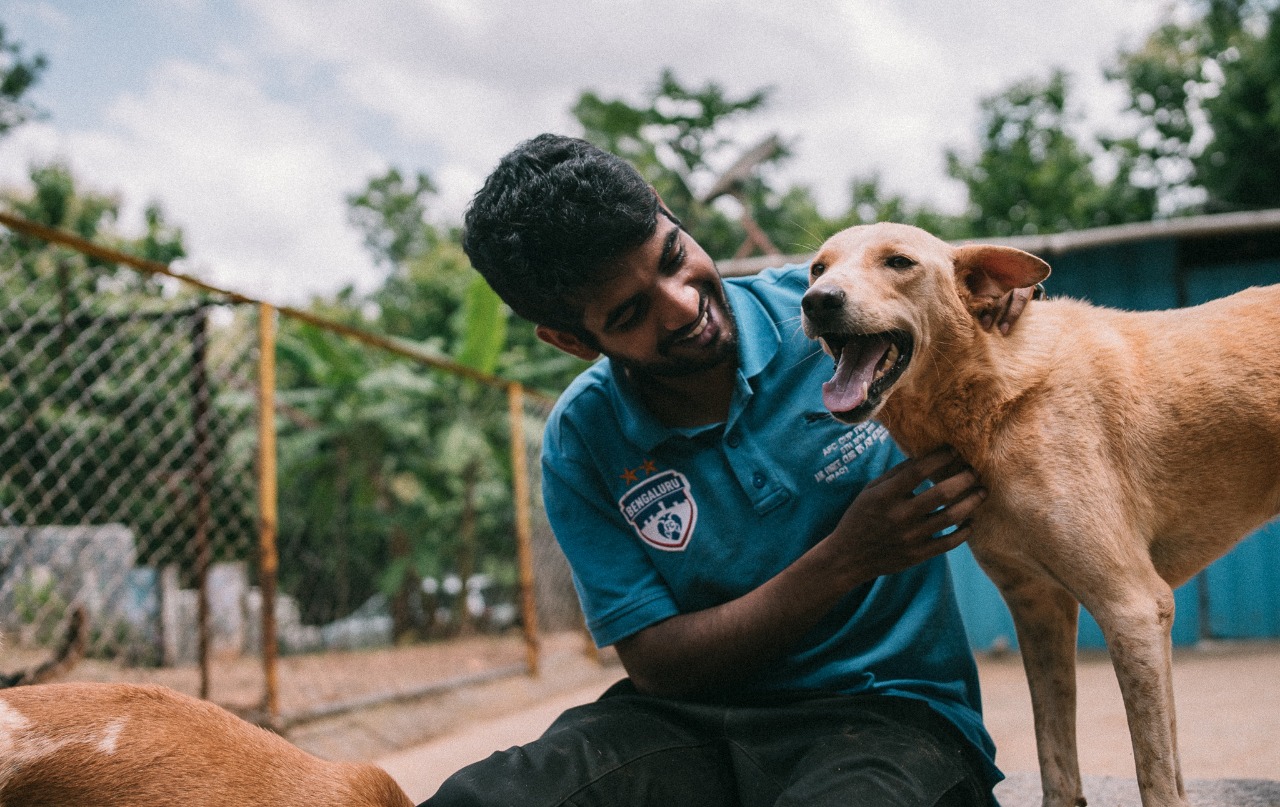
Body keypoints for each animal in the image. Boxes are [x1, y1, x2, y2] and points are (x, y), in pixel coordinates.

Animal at [798, 221, 1280, 807]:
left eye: (899, 262)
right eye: (818, 268)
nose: (817, 300)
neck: (992, 404)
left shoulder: (1135, 608)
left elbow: (1157, 778)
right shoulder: (1038, 609)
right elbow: (1056, 758)